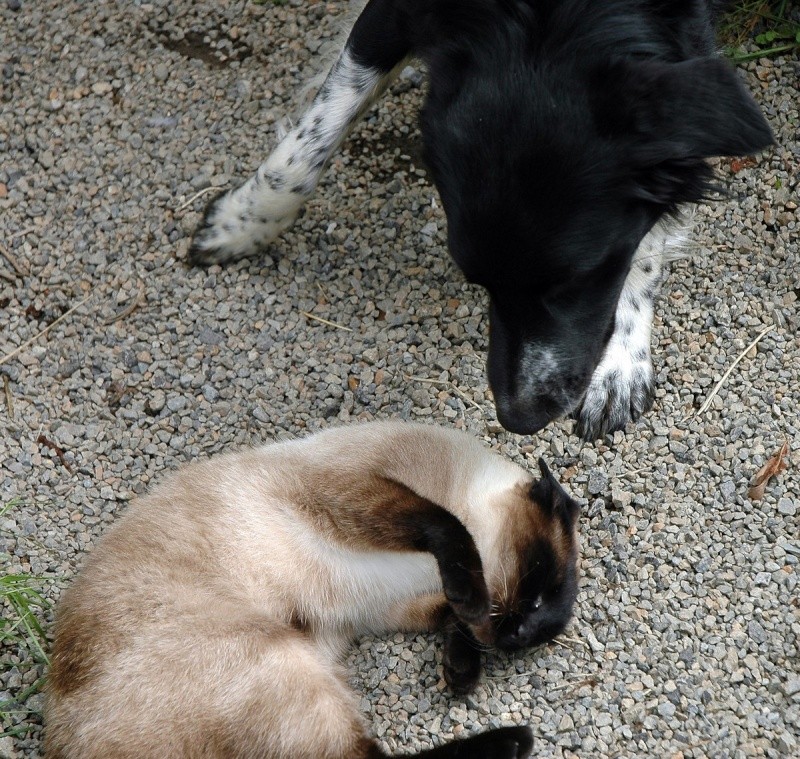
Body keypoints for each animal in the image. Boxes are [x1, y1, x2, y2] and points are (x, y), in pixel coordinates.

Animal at [47, 422, 580, 759]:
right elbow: (448, 528)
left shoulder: (380, 609)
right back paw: (516, 741)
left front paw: (461, 671)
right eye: (535, 595)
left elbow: (452, 616)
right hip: (279, 661)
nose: (516, 636)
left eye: (535, 625)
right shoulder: (356, 493)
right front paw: (469, 607)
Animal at [188, 0, 768, 440]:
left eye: (576, 279)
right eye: (478, 281)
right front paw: (242, 222)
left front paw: (622, 359)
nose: (518, 419)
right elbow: (316, 132)